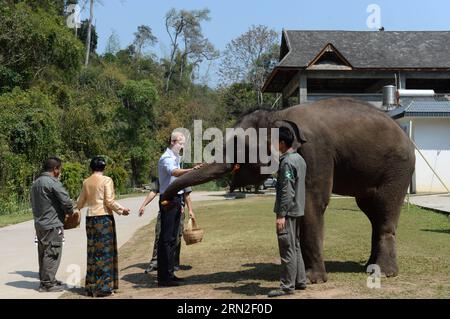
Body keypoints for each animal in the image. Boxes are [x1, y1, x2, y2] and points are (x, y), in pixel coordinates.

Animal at [162, 98, 414, 284]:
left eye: (240, 147)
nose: (165, 200)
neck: (278, 115)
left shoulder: (315, 150)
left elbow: (313, 200)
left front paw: (313, 280)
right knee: (371, 212)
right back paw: (369, 267)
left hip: (397, 170)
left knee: (384, 211)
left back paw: (384, 273)